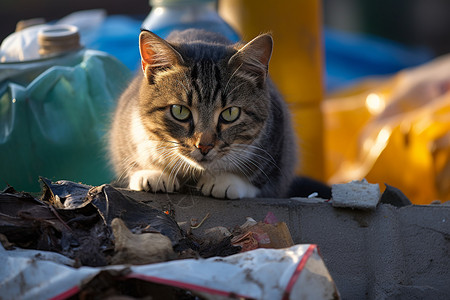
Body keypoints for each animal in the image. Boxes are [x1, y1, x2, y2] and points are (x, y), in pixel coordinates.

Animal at [108, 29, 298, 199]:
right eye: (180, 111)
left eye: (230, 113)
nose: (204, 146)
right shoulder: (127, 130)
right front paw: (153, 173)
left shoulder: (279, 144)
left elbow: (261, 178)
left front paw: (227, 181)